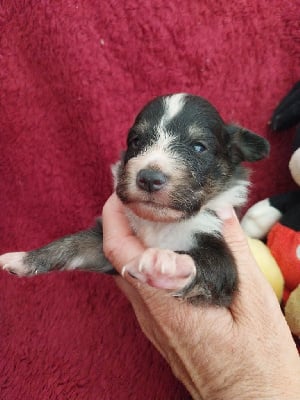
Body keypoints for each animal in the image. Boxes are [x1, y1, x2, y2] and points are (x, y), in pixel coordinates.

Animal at [0, 94, 270, 306]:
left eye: (198, 147)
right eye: (136, 141)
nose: (149, 178)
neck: (161, 223)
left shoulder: (221, 256)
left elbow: (203, 262)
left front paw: (164, 261)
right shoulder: (101, 248)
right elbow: (72, 243)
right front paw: (22, 258)